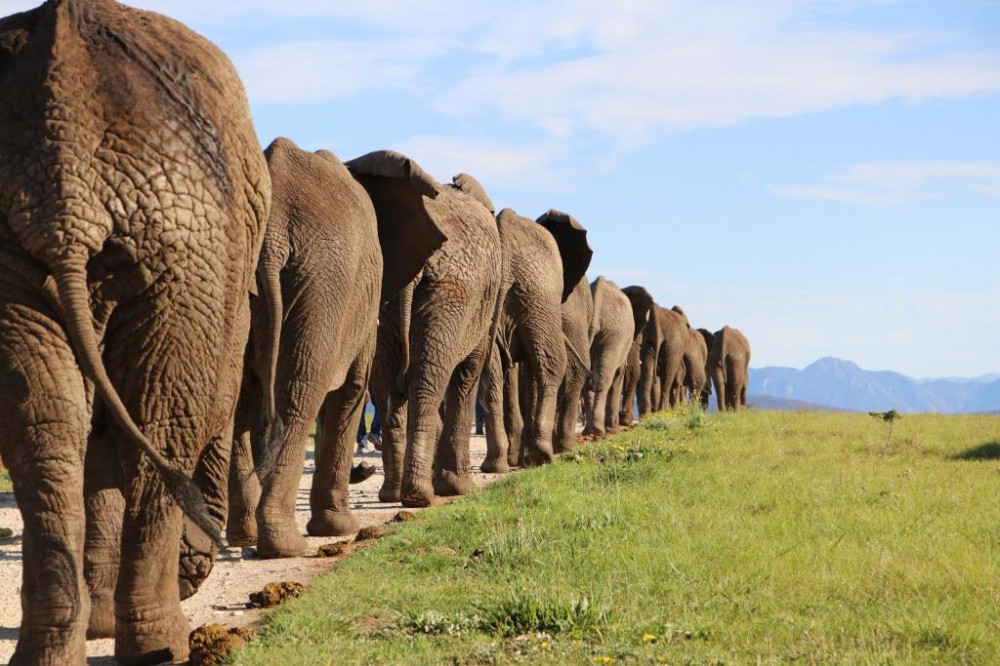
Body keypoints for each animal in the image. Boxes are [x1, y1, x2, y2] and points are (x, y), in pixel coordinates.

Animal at [0, 1, 270, 663]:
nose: (201, 565)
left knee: (46, 420)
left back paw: (55, 651)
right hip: (187, 238)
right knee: (165, 413)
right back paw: (164, 645)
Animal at [222, 139, 444, 558]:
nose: (365, 470)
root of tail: (272, 235)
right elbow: (350, 391)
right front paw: (338, 528)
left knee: (236, 403)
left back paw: (244, 537)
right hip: (323, 288)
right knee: (298, 395)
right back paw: (284, 545)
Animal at [359, 160, 502, 507]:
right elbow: (468, 375)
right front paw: (458, 489)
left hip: (388, 295)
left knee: (387, 383)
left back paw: (393, 494)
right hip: (452, 292)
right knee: (430, 379)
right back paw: (421, 496)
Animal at [479, 206, 592, 472]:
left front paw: (520, 459)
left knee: (493, 373)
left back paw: (496, 465)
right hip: (537, 294)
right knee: (553, 363)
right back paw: (543, 455)